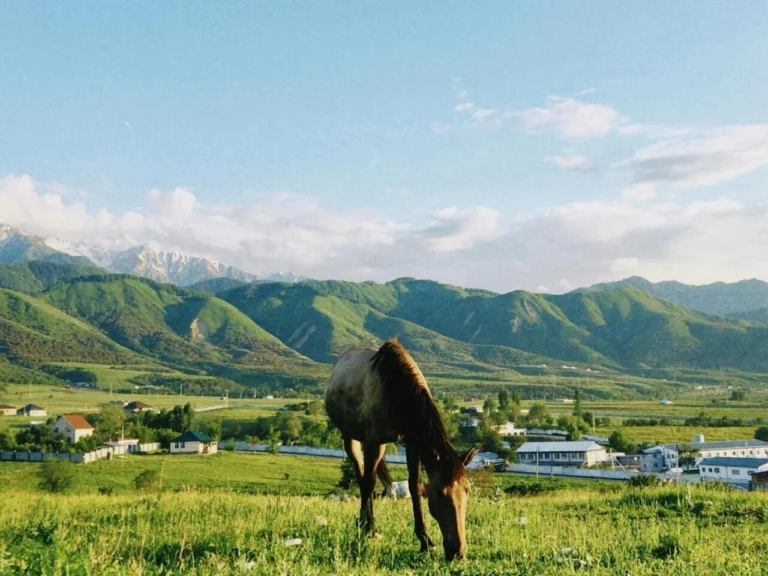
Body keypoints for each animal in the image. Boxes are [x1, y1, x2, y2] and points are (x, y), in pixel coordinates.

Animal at [324, 338, 477, 561]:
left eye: (467, 490)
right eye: (440, 493)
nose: (458, 551)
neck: (397, 392)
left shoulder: (412, 443)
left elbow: (414, 486)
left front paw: (425, 540)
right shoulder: (374, 441)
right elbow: (369, 483)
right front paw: (370, 530)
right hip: (350, 436)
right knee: (362, 476)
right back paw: (365, 523)